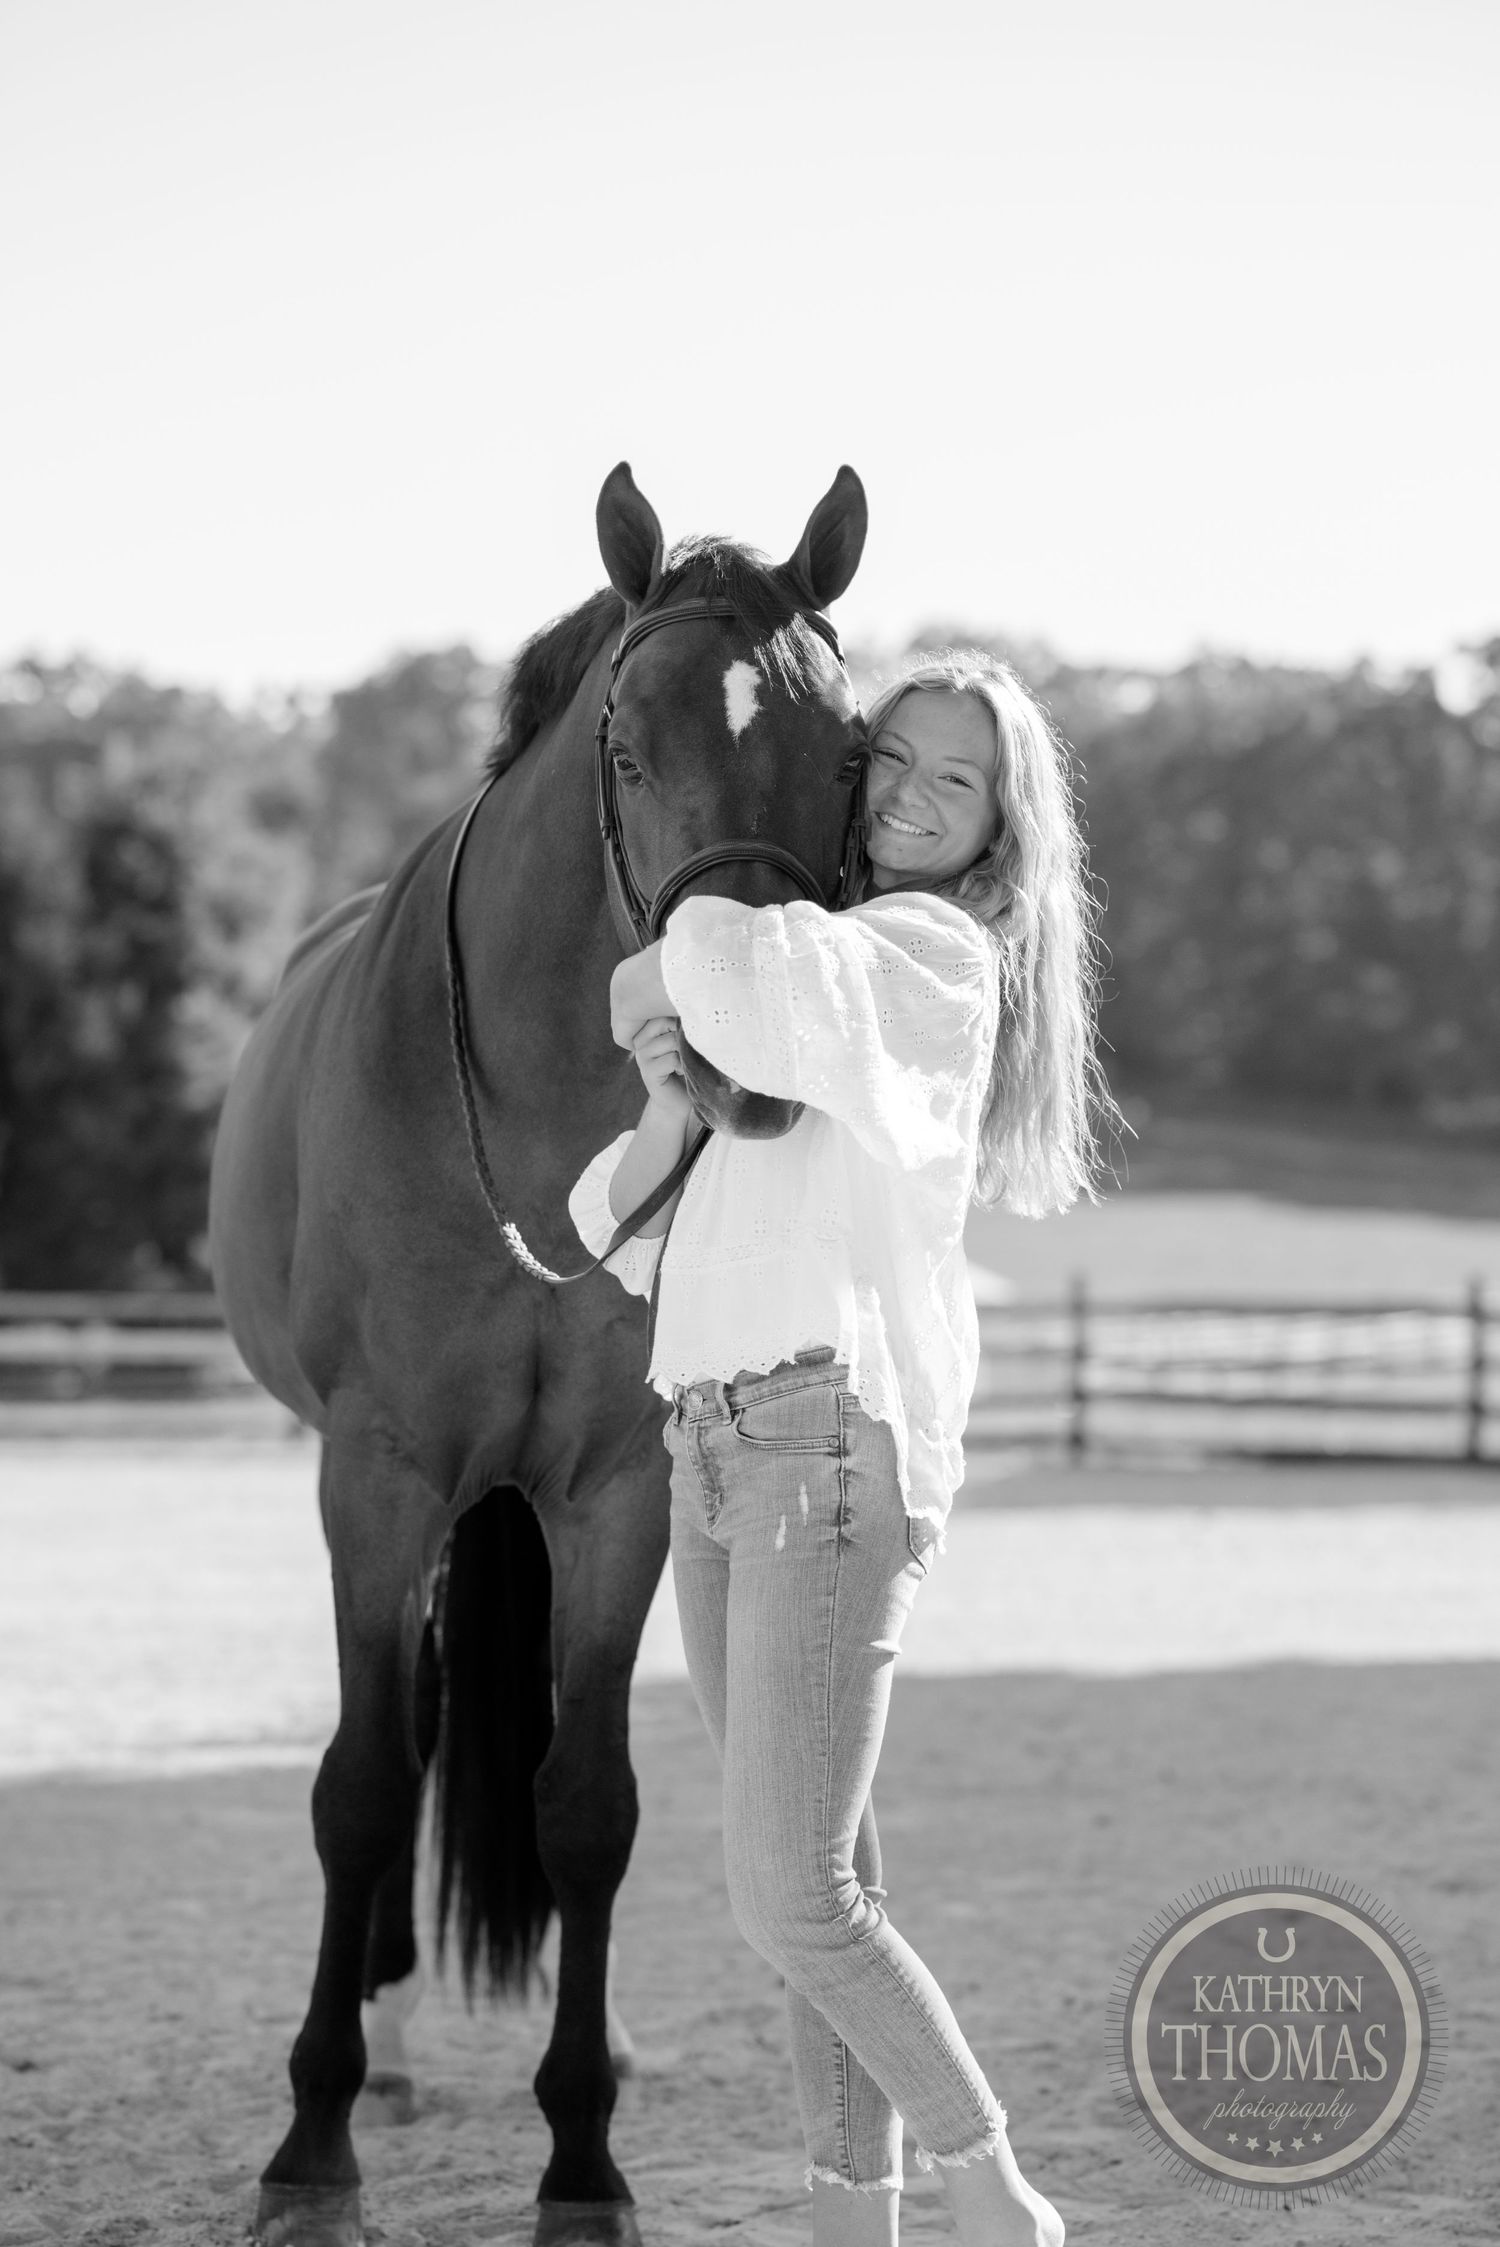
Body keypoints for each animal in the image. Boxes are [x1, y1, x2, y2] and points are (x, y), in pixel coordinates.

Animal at [207, 461, 870, 2247]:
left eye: (851, 750)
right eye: (626, 747)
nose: (753, 1048)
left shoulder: (610, 1490)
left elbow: (588, 1803)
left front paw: (582, 2152)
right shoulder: (377, 1479)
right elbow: (368, 1781)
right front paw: (314, 2138)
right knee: (414, 1739)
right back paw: (378, 2040)